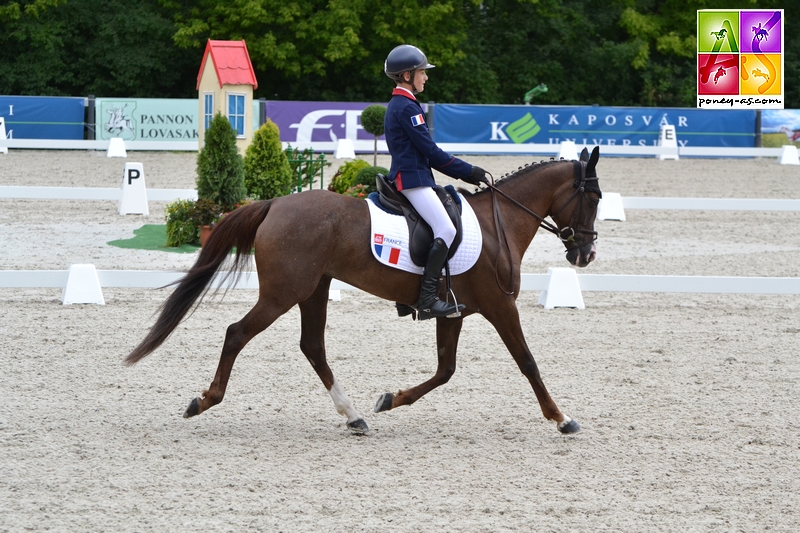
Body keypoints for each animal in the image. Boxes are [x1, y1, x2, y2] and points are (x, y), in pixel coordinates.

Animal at [125, 145, 600, 432]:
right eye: (593, 199)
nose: (586, 255)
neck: (498, 223)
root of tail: (275, 203)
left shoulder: (455, 310)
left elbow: (445, 370)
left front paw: (390, 399)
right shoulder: (500, 307)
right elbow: (528, 362)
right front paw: (561, 418)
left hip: (313, 290)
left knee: (312, 347)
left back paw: (353, 416)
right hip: (283, 293)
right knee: (237, 333)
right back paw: (205, 400)